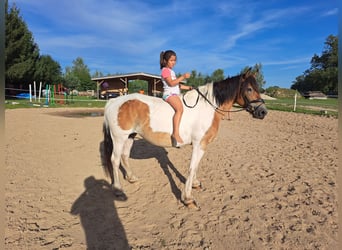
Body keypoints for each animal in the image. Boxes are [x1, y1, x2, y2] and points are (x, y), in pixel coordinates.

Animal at [101, 68, 268, 209]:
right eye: (249, 89)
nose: (263, 112)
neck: (208, 107)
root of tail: (114, 101)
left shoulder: (201, 145)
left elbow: (196, 166)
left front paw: (195, 184)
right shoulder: (199, 144)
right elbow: (192, 167)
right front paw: (188, 198)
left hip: (130, 136)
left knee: (124, 156)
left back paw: (131, 178)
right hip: (119, 138)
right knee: (115, 160)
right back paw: (118, 189)